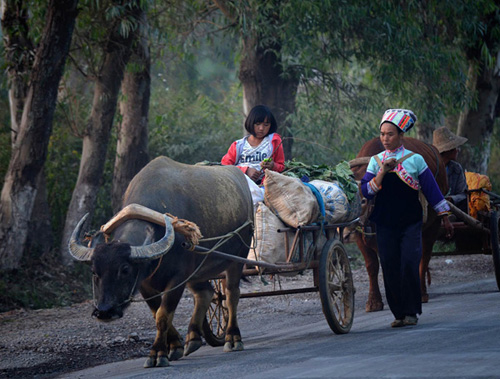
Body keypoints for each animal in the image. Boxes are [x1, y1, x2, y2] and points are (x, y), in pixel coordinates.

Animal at [67, 157, 254, 368]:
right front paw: (174, 346)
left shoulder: (178, 278)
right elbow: (156, 312)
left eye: (125, 269)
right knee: (206, 293)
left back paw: (233, 338)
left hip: (237, 258)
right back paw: (193, 338)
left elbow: (163, 315)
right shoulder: (145, 282)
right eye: (94, 271)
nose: (104, 311)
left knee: (231, 295)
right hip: (198, 270)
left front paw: (157, 353)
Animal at [348, 138, 450, 314]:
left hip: (433, 224)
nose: (347, 229)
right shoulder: (361, 238)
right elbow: (372, 266)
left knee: (424, 256)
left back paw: (422, 293)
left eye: (363, 200)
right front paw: (374, 302)